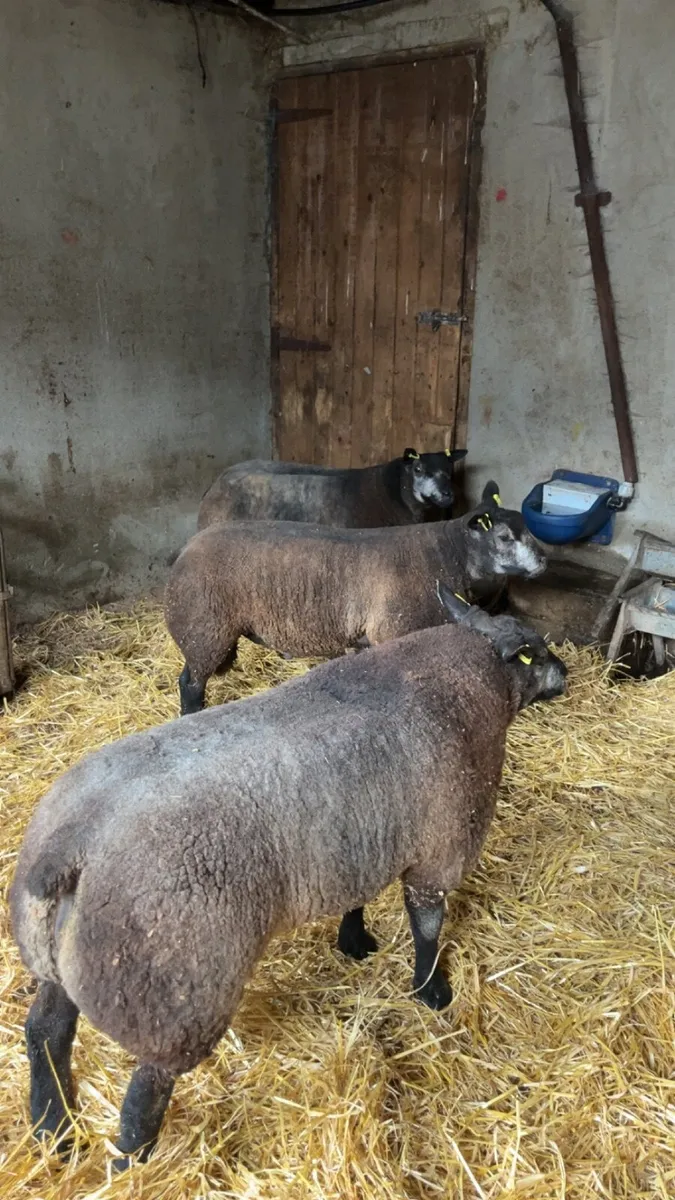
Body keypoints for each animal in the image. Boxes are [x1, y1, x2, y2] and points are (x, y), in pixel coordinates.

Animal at [10, 593, 567, 1169]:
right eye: (533, 651)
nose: (567, 673)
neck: (470, 675)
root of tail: (66, 851)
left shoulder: (360, 838)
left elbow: (358, 899)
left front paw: (354, 942)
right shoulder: (440, 847)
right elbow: (428, 926)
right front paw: (431, 991)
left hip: (67, 965)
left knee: (46, 1032)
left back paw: (53, 1129)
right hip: (174, 992)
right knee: (144, 1093)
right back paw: (131, 1164)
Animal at [165, 481, 548, 714]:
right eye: (504, 537)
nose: (545, 561)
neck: (446, 553)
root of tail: (186, 548)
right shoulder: (395, 630)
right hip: (204, 630)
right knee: (190, 683)